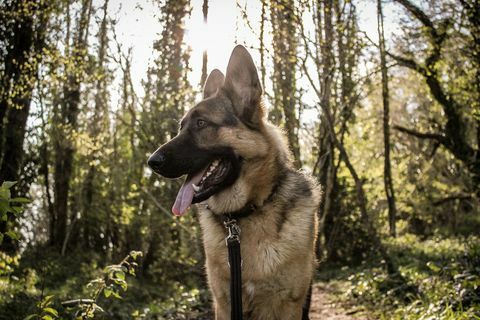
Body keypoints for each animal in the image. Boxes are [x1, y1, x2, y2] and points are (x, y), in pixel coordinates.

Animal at [146, 45, 318, 320]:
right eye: (181, 127)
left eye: (201, 123)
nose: (152, 162)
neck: (245, 214)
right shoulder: (224, 302)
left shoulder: (287, 306)